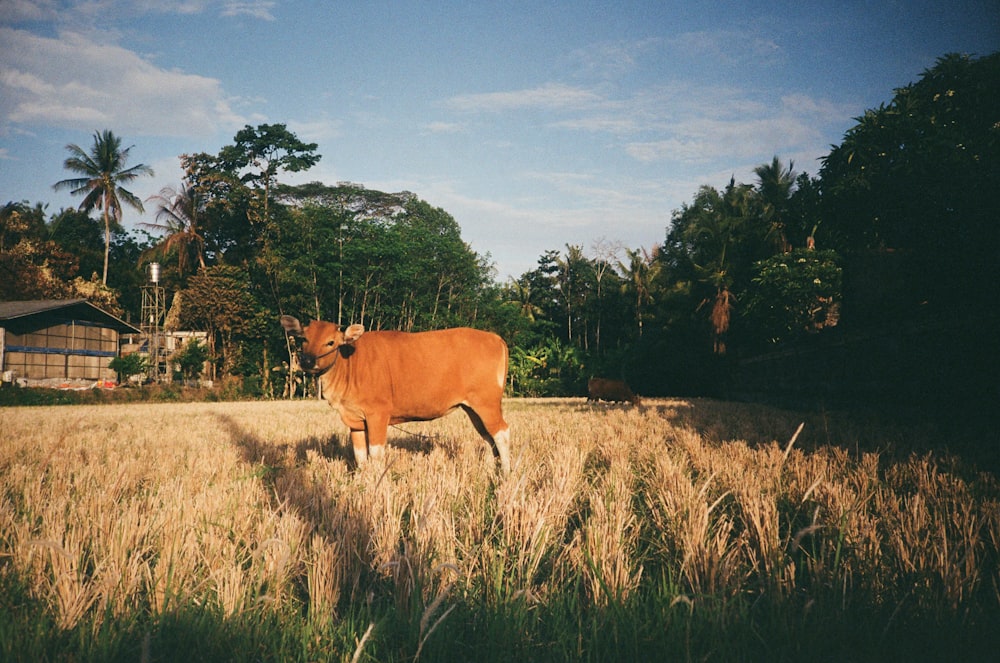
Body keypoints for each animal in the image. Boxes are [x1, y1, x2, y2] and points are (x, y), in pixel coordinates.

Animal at [282, 316, 516, 472]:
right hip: (472, 407)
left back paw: (506, 474)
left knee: (501, 433)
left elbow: (376, 454)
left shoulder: (378, 414)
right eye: (303, 339)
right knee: (488, 436)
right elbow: (360, 455)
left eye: (331, 342)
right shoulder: (355, 420)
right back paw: (489, 469)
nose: (307, 361)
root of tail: (495, 338)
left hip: (486, 402)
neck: (350, 364)